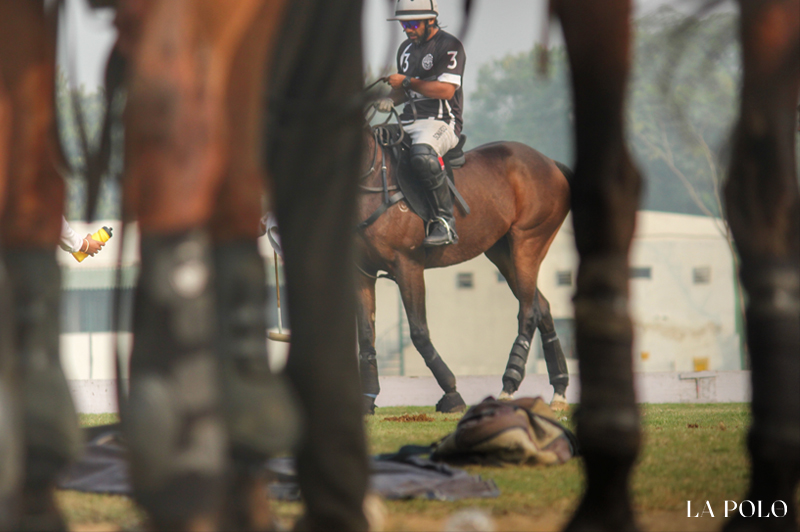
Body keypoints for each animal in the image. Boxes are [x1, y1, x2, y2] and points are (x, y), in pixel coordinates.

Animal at [358, 123, 576, 416]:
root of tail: (550, 162)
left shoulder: (408, 265)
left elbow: (419, 332)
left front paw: (452, 393)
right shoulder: (363, 273)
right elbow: (366, 337)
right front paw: (368, 400)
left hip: (528, 243)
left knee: (529, 312)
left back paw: (509, 385)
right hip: (502, 253)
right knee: (543, 307)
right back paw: (560, 390)